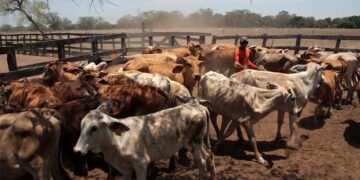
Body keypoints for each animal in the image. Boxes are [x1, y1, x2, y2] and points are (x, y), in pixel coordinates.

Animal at [72, 98, 214, 180]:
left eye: (94, 128)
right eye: (81, 125)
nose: (76, 150)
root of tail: (197, 105)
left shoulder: (141, 163)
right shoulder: (125, 170)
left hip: (195, 142)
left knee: (201, 161)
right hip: (198, 143)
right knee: (209, 156)